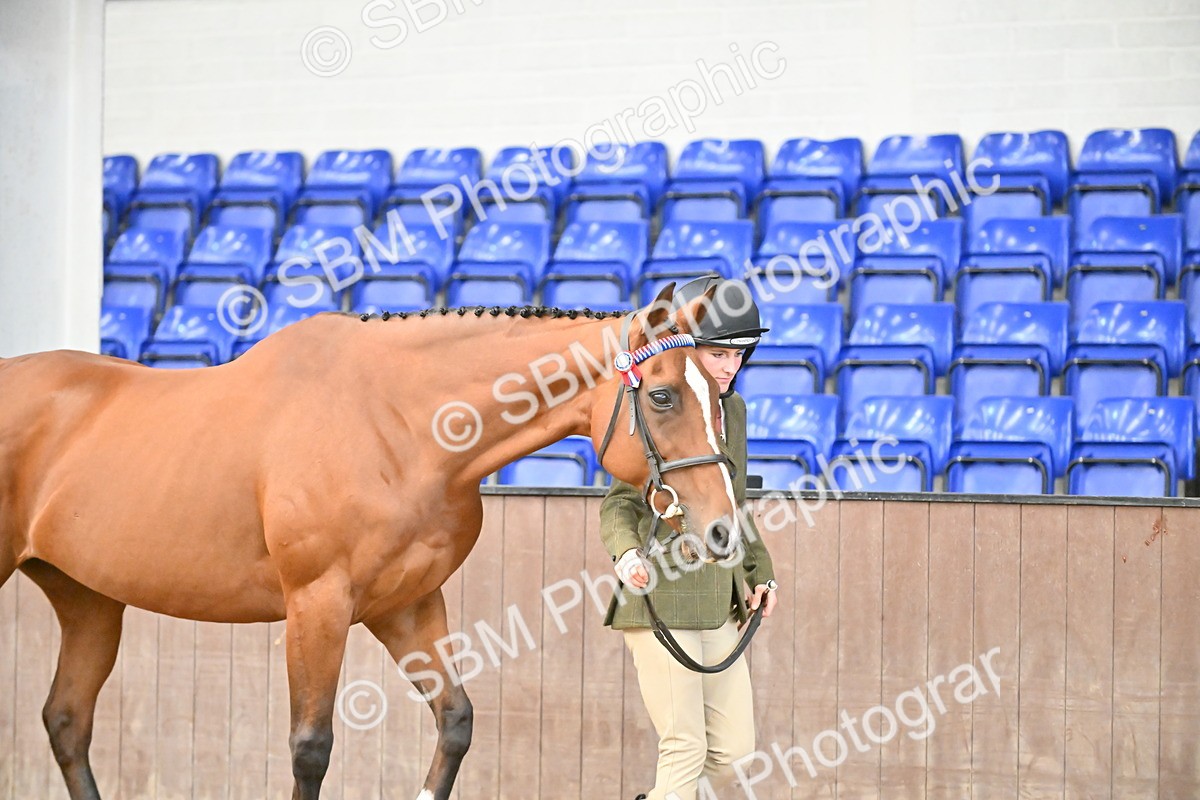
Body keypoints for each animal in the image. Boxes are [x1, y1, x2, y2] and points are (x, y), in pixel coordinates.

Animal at [0, 283, 747, 800]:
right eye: (662, 398)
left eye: (719, 395)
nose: (721, 530)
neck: (396, 422)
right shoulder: (317, 605)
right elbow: (310, 746)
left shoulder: (407, 605)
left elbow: (455, 720)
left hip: (88, 599)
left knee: (67, 720)